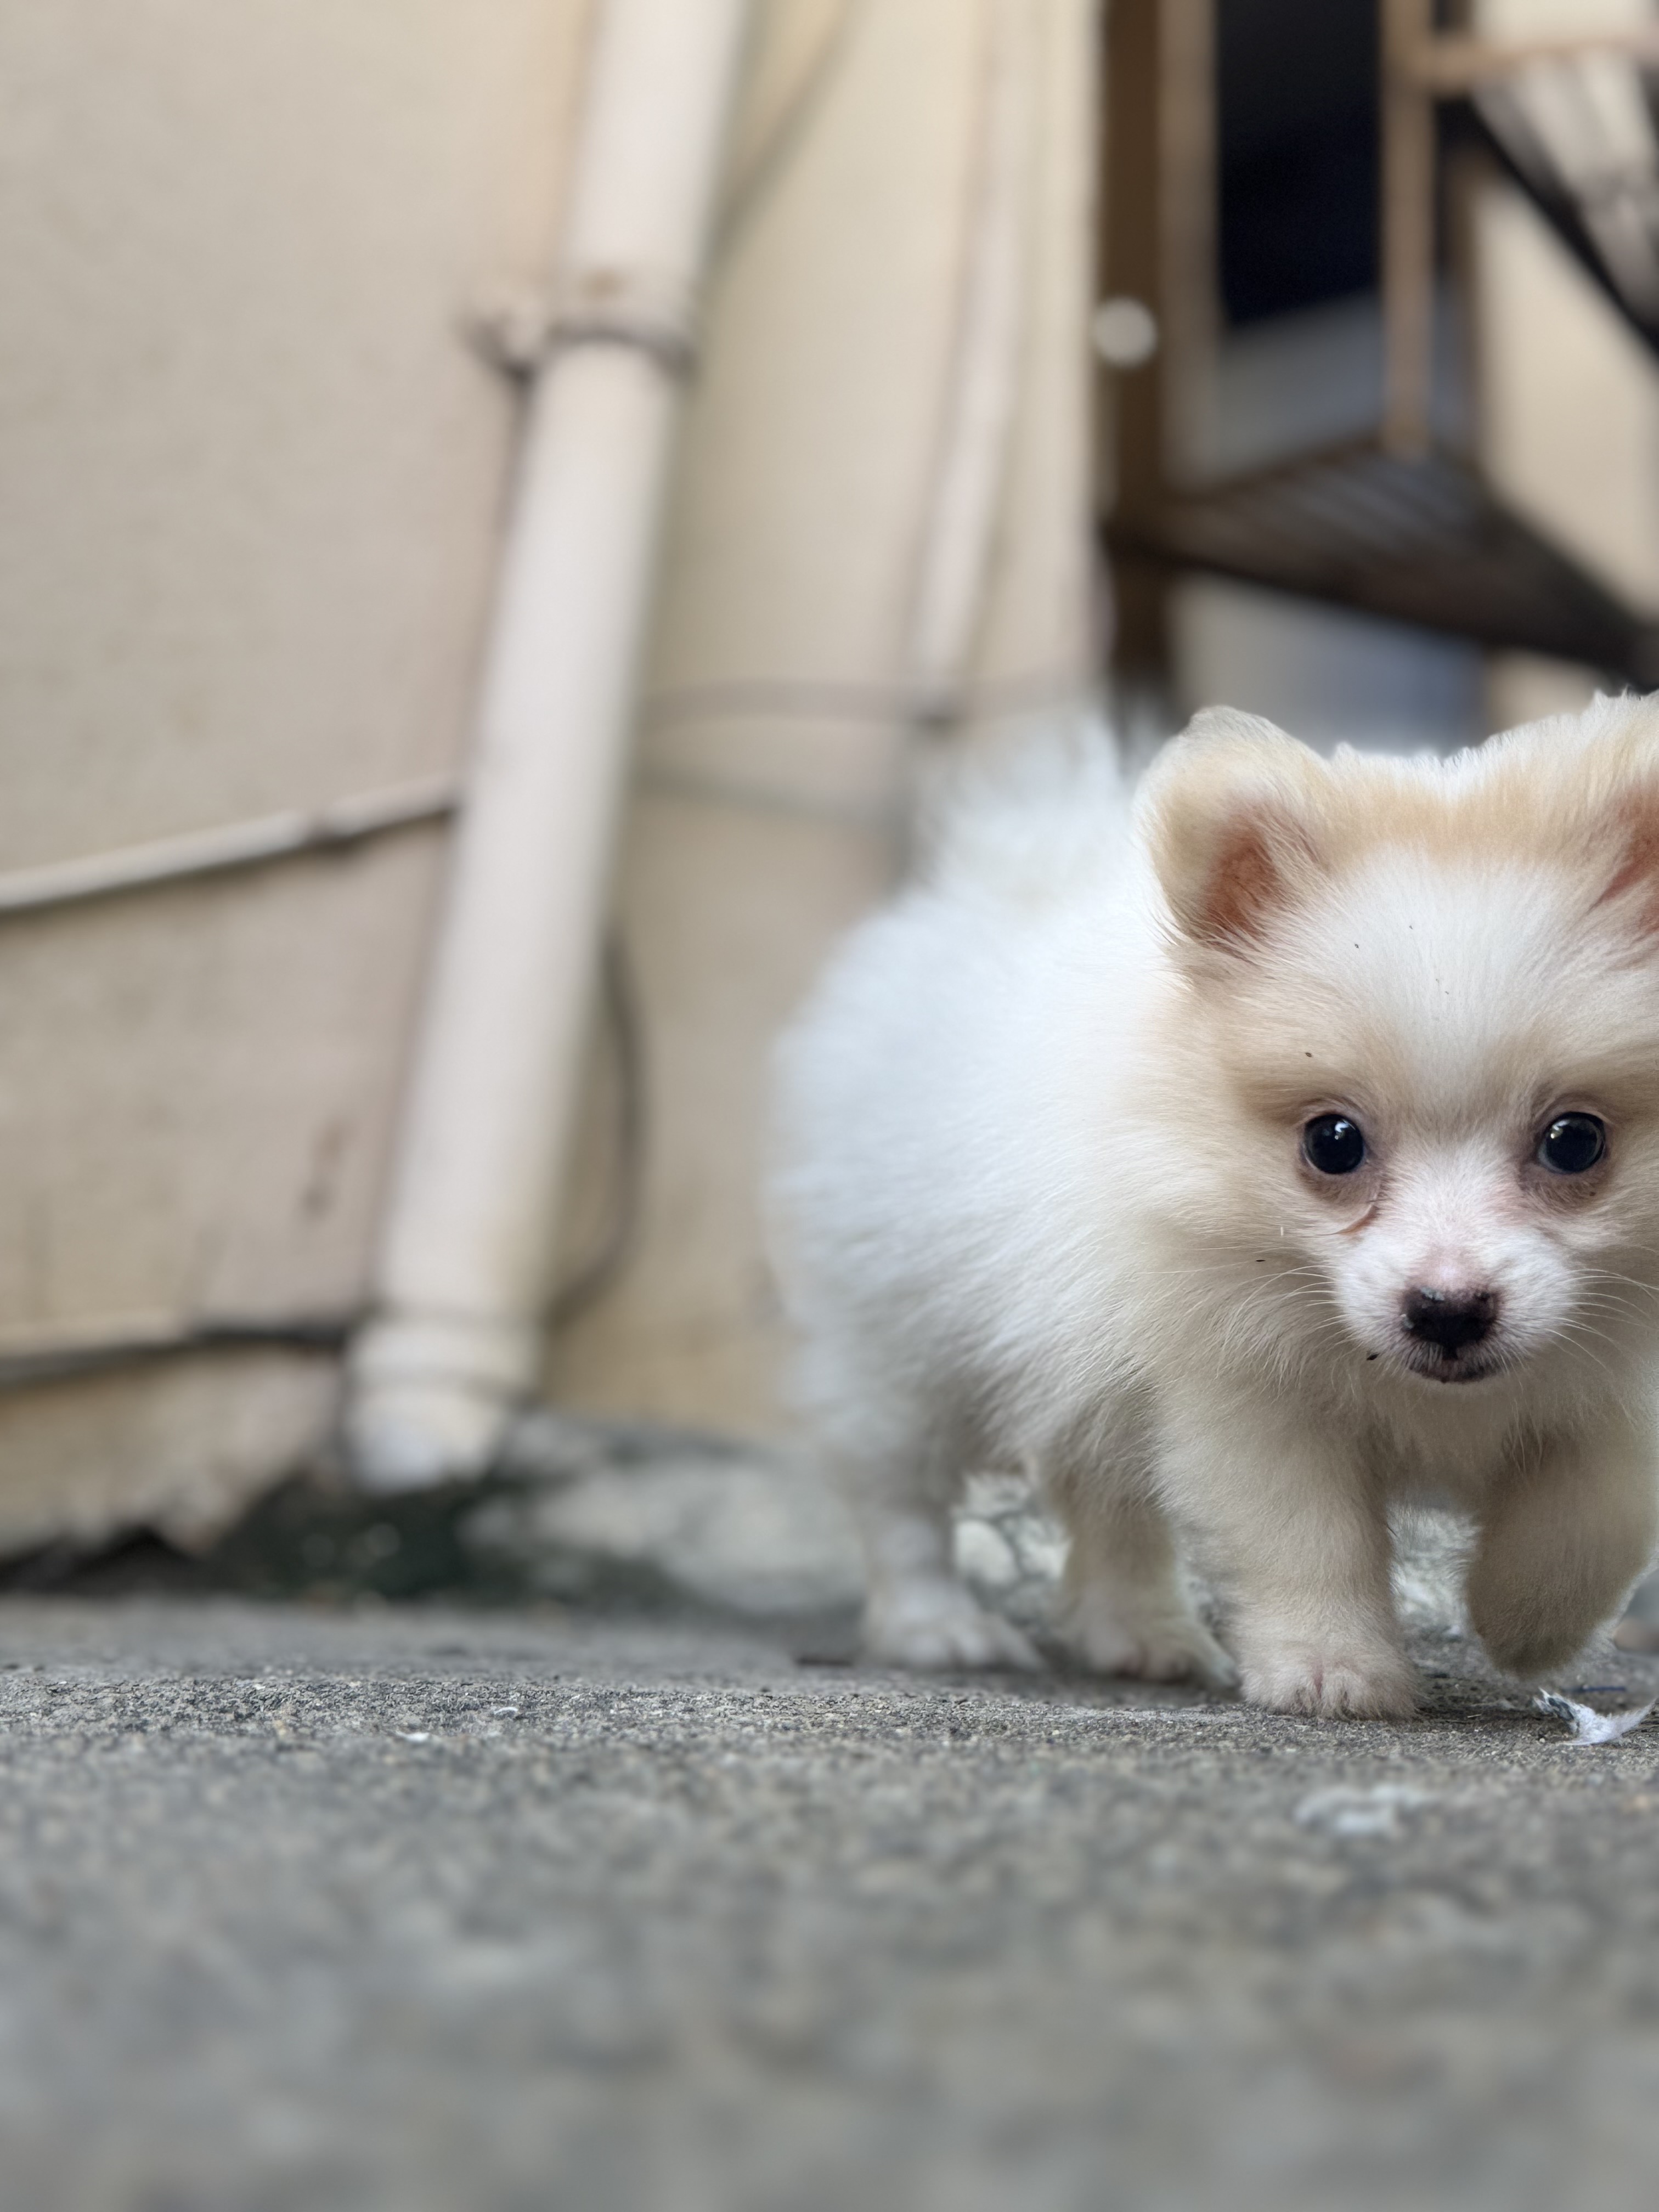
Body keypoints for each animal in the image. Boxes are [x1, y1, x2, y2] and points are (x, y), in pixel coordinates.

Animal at [770, 699, 1659, 1716]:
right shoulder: (1249, 1390)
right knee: (897, 1490)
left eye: (1574, 1141)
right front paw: (1330, 1669)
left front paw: (1524, 1619)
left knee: (1105, 1494)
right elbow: (1306, 1537)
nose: (1446, 1310)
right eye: (1332, 1142)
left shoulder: (1615, 1383)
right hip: (895, 1329)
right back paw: (940, 1627)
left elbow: (1592, 1510)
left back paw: (1140, 1634)